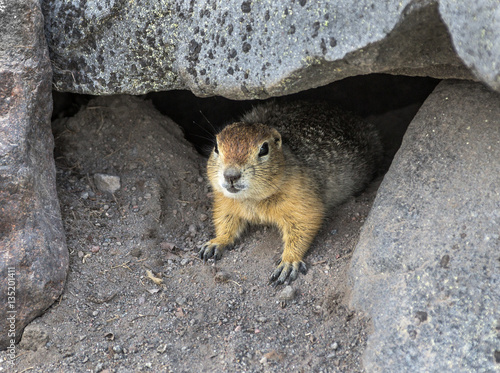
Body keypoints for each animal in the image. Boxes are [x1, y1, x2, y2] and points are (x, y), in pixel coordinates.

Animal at [199, 100, 382, 284]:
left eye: (264, 149)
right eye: (216, 147)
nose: (231, 175)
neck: (251, 199)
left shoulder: (301, 197)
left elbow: (304, 225)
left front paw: (288, 262)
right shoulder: (224, 201)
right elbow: (224, 220)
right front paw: (215, 243)